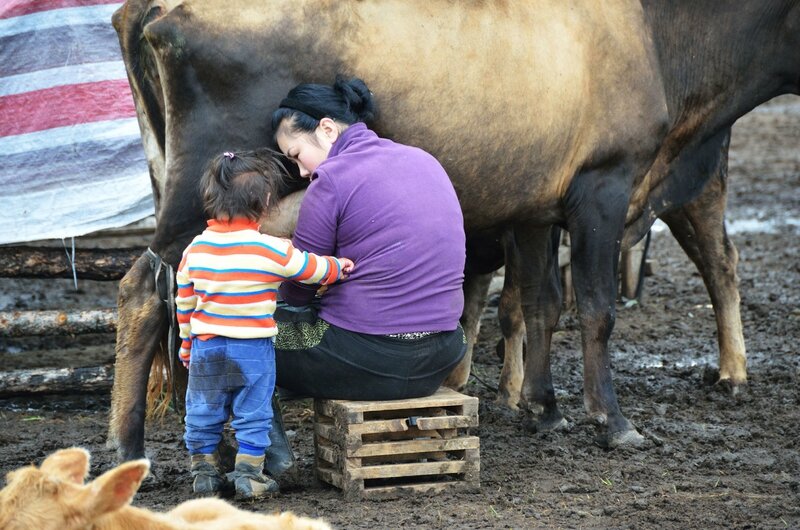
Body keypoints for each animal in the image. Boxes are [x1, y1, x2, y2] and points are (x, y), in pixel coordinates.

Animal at [108, 0, 800, 458]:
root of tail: (163, 14)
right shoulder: (603, 186)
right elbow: (597, 308)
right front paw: (613, 420)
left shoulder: (534, 206)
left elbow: (541, 304)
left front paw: (544, 409)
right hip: (213, 195)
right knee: (147, 291)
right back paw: (132, 447)